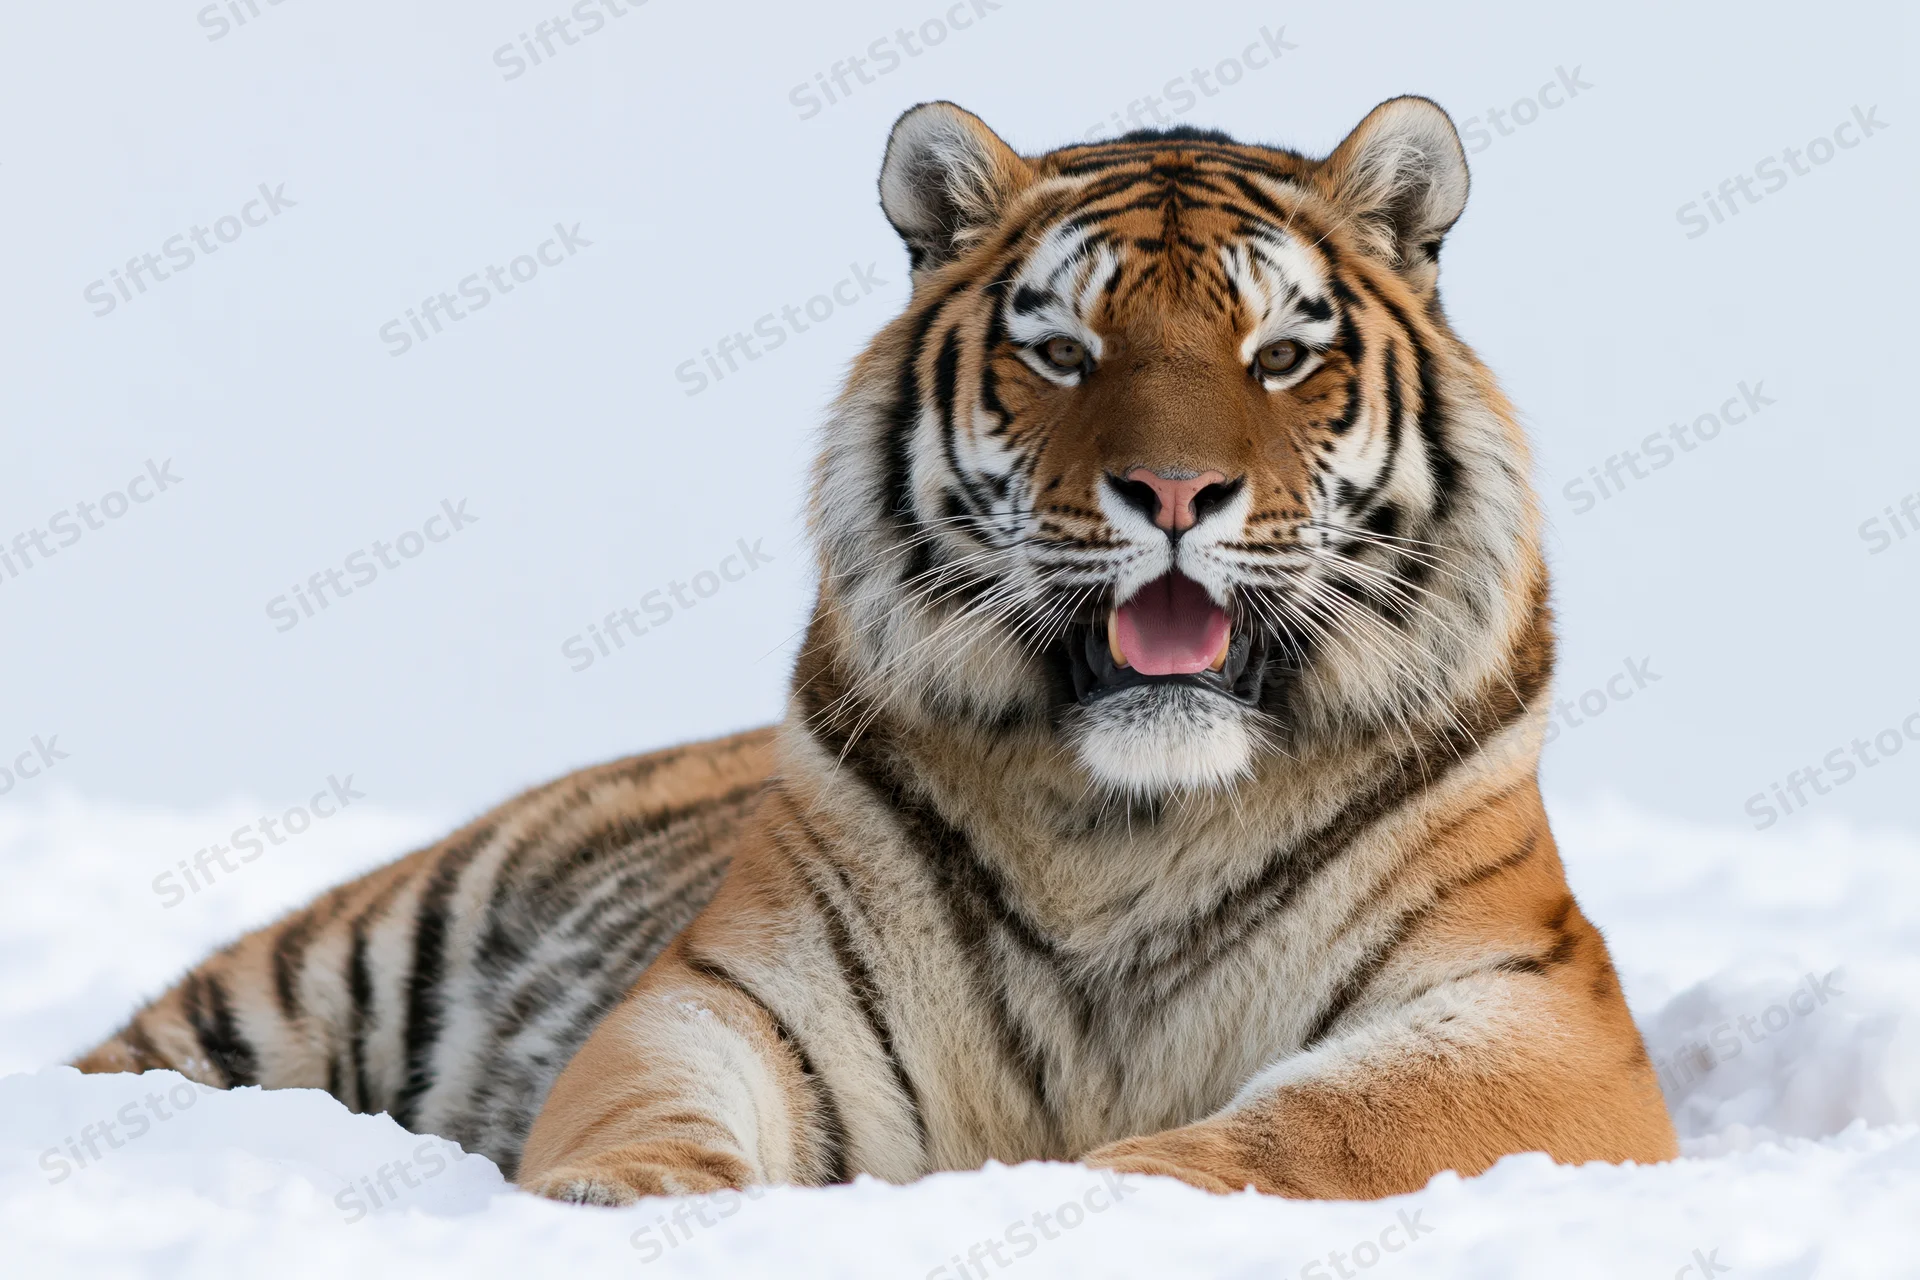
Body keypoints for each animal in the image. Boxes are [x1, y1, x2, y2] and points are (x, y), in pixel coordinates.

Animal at [76, 96, 1679, 1204]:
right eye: (1062, 352)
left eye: (1283, 356)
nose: (1172, 494)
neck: (1133, 820)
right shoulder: (738, 989)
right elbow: (653, 1100)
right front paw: (625, 1207)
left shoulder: (1536, 1016)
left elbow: (1325, 1127)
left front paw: (1104, 1198)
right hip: (313, 976)